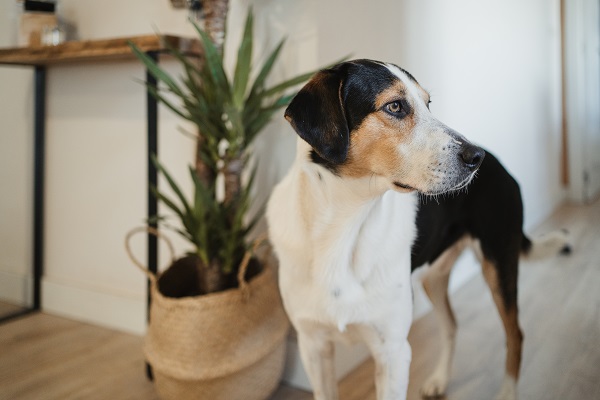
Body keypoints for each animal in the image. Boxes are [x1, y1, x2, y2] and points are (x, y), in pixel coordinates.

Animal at [264, 60, 486, 400]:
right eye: (394, 106)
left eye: (428, 104)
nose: (476, 157)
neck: (344, 228)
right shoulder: (313, 346)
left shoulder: (393, 351)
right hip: (434, 278)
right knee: (450, 325)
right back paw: (439, 380)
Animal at [410, 149, 568, 396]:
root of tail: (494, 160)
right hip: (433, 275)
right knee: (450, 326)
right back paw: (440, 378)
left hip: (498, 269)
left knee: (515, 335)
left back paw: (508, 393)